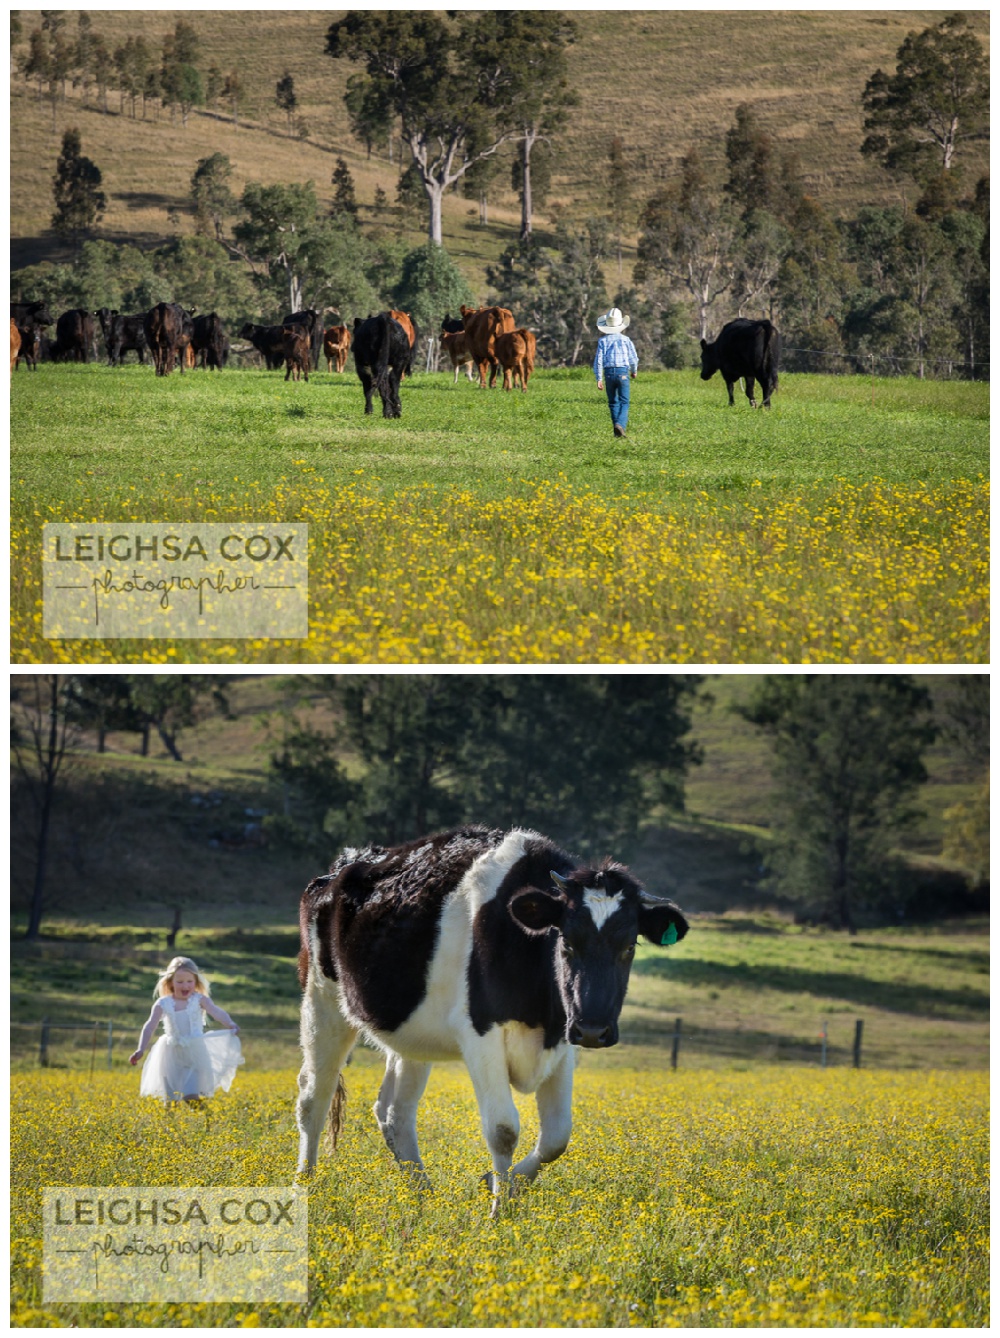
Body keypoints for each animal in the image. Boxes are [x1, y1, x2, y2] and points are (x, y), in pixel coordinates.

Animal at [293, 824, 690, 1214]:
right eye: (566, 942)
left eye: (629, 947)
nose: (594, 1029)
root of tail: (346, 863)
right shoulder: (480, 1033)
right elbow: (503, 1129)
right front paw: (499, 1212)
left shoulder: (563, 1038)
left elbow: (557, 1136)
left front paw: (505, 1186)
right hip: (321, 1000)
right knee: (314, 1097)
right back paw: (304, 1187)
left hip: (410, 1034)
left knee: (394, 1112)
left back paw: (423, 1196)